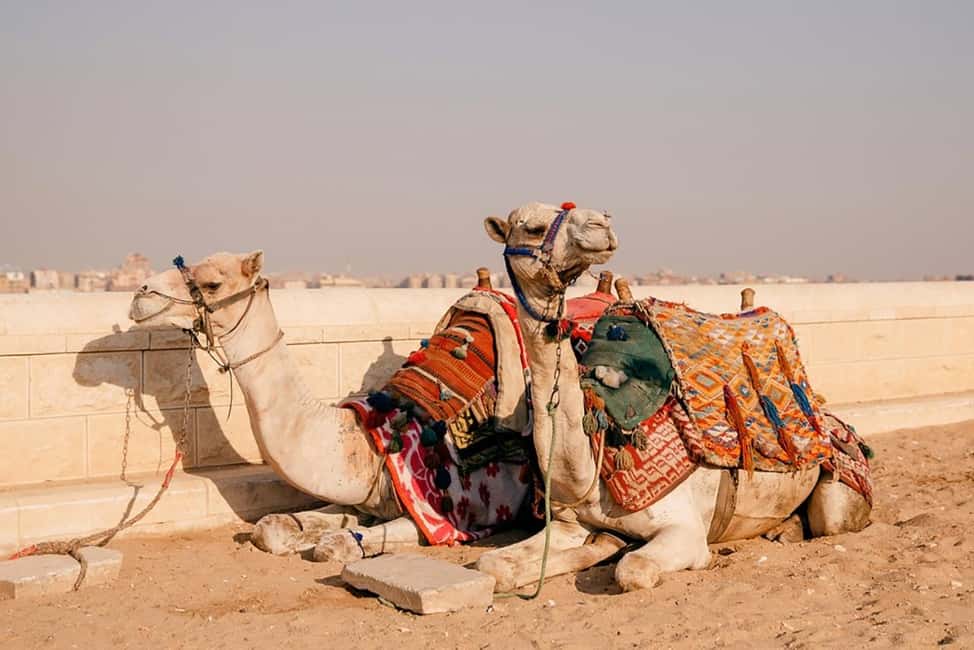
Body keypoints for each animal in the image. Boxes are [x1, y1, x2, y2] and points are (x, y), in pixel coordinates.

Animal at [476, 202, 871, 592]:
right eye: (534, 228)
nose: (600, 224)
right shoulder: (570, 524)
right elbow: (492, 565)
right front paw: (599, 546)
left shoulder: (685, 530)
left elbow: (633, 570)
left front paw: (615, 551)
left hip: (837, 494)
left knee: (829, 519)